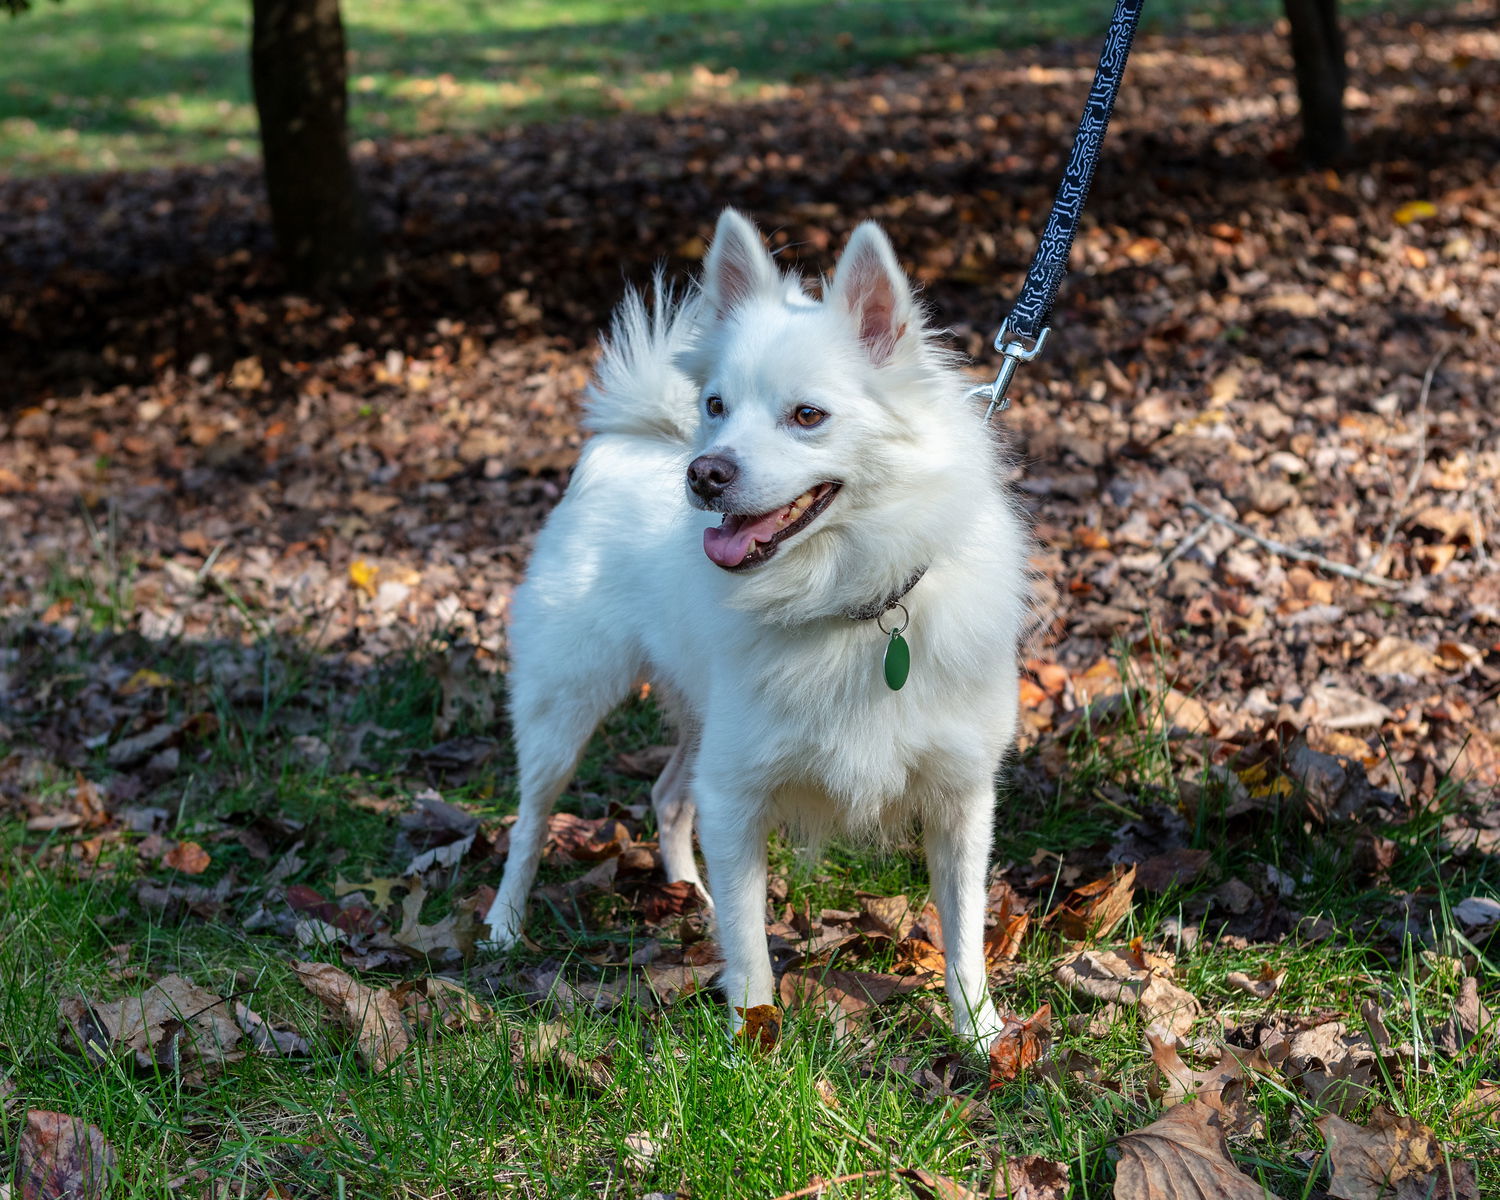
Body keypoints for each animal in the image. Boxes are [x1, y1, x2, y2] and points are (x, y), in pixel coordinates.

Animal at [486, 211, 1026, 1056]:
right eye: (715, 405)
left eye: (808, 416)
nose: (703, 473)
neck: (847, 600)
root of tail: (629, 444)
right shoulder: (736, 794)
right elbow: (750, 941)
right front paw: (754, 1042)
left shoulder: (960, 801)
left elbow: (964, 932)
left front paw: (980, 1037)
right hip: (564, 711)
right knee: (531, 820)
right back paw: (506, 925)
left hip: (694, 722)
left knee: (668, 794)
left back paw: (688, 897)